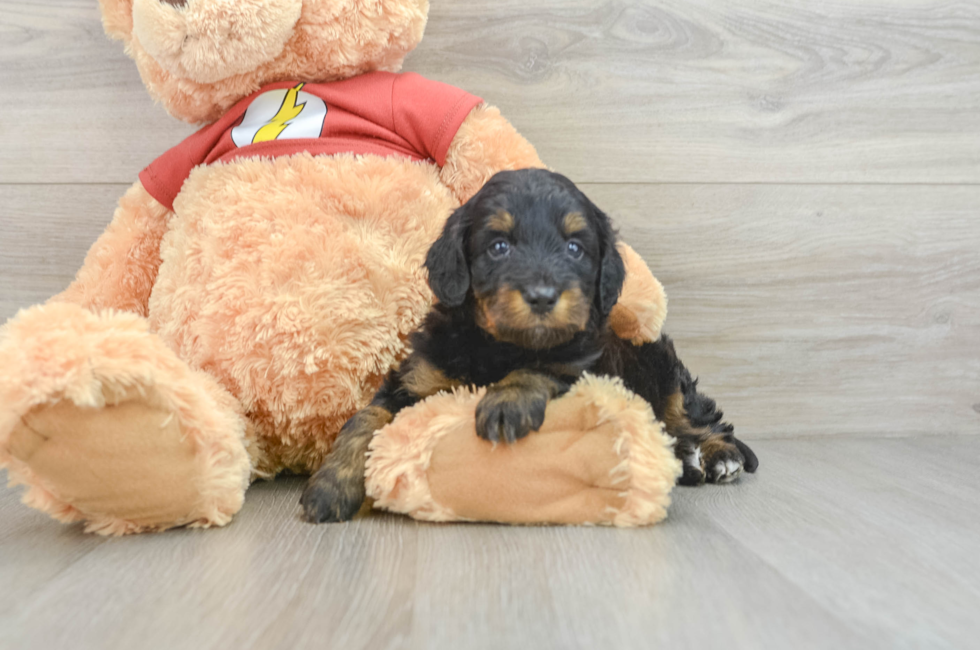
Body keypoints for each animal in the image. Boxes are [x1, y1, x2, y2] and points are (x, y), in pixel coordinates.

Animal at [302, 168, 760, 520]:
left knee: (700, 418)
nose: (542, 296)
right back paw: (690, 462)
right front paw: (329, 486)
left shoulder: (581, 364)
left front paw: (507, 403)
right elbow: (366, 419)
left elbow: (542, 366)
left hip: (665, 372)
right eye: (499, 246)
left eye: (575, 248)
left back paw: (719, 457)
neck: (498, 347)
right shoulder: (416, 377)